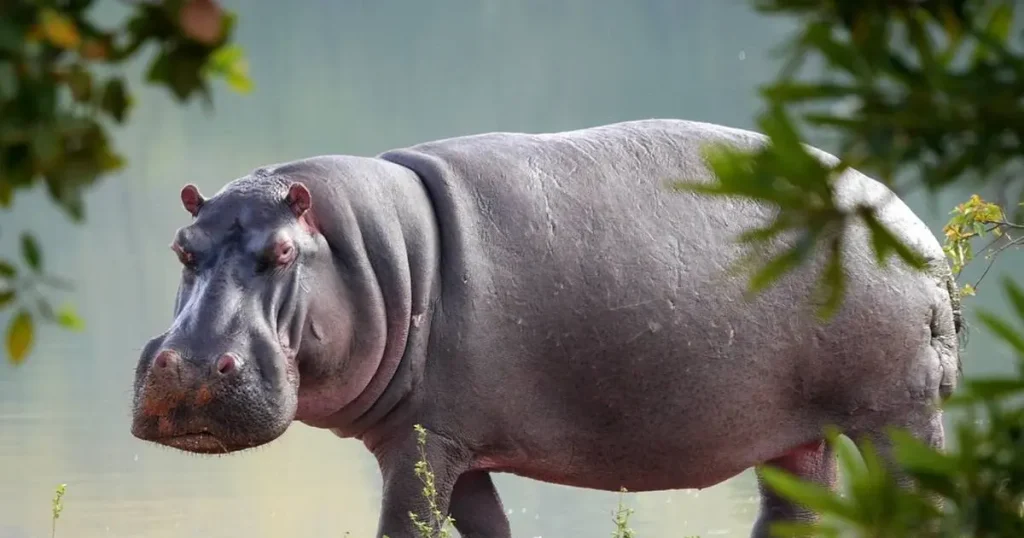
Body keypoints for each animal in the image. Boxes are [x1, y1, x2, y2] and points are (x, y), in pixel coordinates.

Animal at [130, 119, 963, 538]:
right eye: (181, 246)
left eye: (280, 252)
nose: (189, 368)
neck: (371, 253)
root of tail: (918, 232)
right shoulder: (453, 445)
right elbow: (489, 530)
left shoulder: (425, 442)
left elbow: (405, 529)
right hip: (797, 438)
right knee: (791, 514)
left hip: (899, 414)